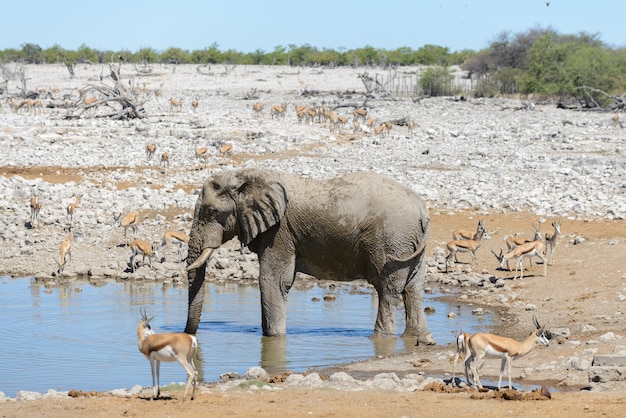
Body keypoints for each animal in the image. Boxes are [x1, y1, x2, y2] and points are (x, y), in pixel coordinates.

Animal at [183, 167, 432, 342]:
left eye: (212, 212)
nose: (188, 335)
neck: (247, 176)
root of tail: (422, 210)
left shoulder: (279, 232)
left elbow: (273, 281)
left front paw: (274, 338)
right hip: (408, 242)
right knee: (413, 288)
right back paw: (419, 339)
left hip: (392, 238)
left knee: (388, 289)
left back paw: (381, 338)